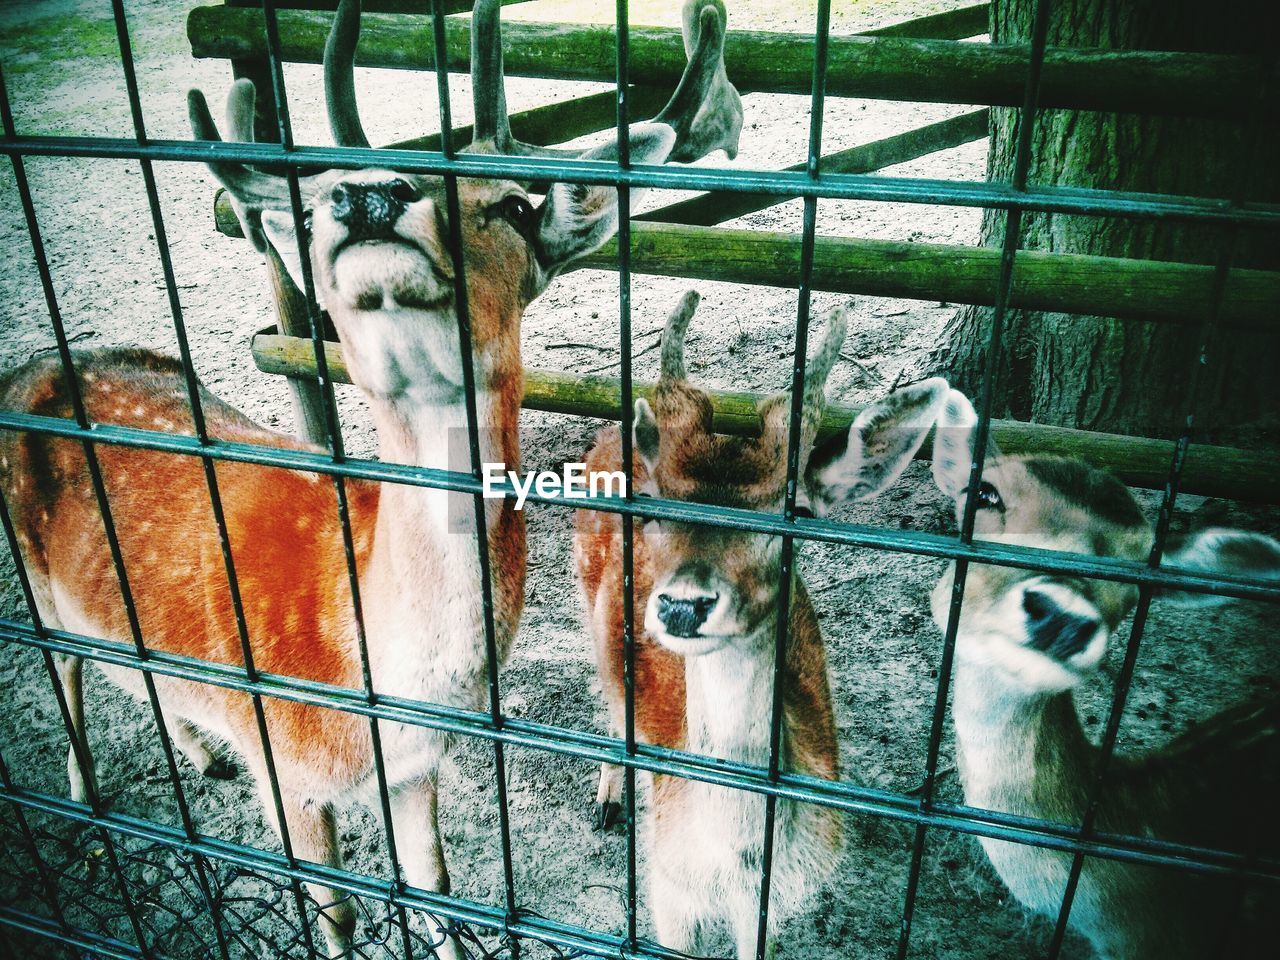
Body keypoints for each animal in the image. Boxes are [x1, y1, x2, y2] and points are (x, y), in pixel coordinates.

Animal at [0, 3, 742, 957]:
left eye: (513, 206)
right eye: (320, 203)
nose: (369, 196)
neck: (373, 685)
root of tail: (29, 366)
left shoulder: (419, 767)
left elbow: (438, 890)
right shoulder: (282, 762)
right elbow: (339, 913)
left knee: (130, 668)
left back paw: (199, 752)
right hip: (33, 571)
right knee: (65, 666)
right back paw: (88, 788)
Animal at [573, 293, 952, 960]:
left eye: (795, 511)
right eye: (653, 505)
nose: (683, 605)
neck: (740, 862)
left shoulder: (768, 908)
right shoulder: (668, 893)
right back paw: (609, 799)